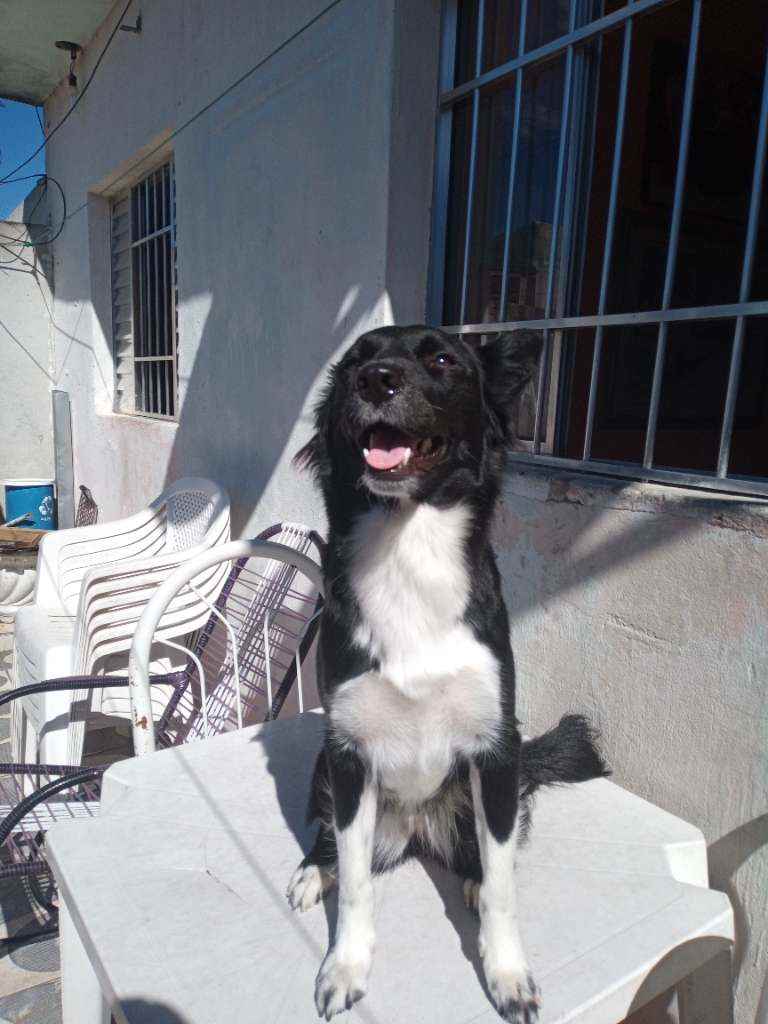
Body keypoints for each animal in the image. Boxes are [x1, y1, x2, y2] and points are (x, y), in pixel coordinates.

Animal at [287, 325, 607, 1022]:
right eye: (352, 363)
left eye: (441, 358)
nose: (375, 379)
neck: (408, 545)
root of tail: (414, 829)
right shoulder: (348, 752)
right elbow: (356, 881)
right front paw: (344, 966)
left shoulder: (495, 747)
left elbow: (505, 884)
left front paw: (506, 972)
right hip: (326, 769)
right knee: (331, 838)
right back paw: (313, 868)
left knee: (487, 853)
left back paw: (472, 879)